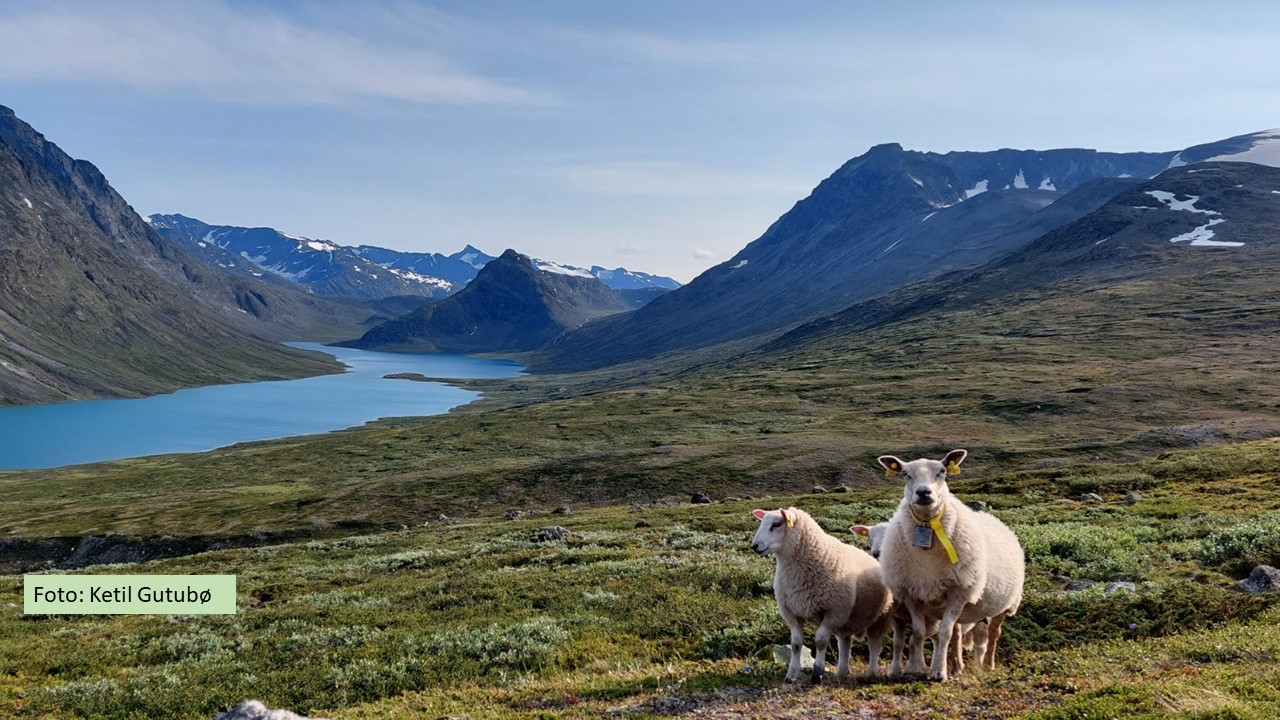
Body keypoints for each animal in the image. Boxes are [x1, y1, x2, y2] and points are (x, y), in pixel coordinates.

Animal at [747, 502, 890, 681]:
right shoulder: (791, 613)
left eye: (777, 524)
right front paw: (791, 674)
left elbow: (821, 641)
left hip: (880, 616)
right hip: (847, 620)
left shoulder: (834, 612)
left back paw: (871, 673)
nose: (755, 546)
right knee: (845, 642)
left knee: (874, 643)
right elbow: (795, 644)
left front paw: (817, 673)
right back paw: (842, 672)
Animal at [875, 448, 1024, 676]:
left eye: (942, 471)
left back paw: (988, 664)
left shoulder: (960, 590)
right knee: (958, 633)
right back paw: (957, 665)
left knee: (993, 632)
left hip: (1005, 605)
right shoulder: (911, 593)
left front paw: (938, 672)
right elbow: (918, 633)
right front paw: (916, 668)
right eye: (905, 474)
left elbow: (944, 632)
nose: (924, 493)